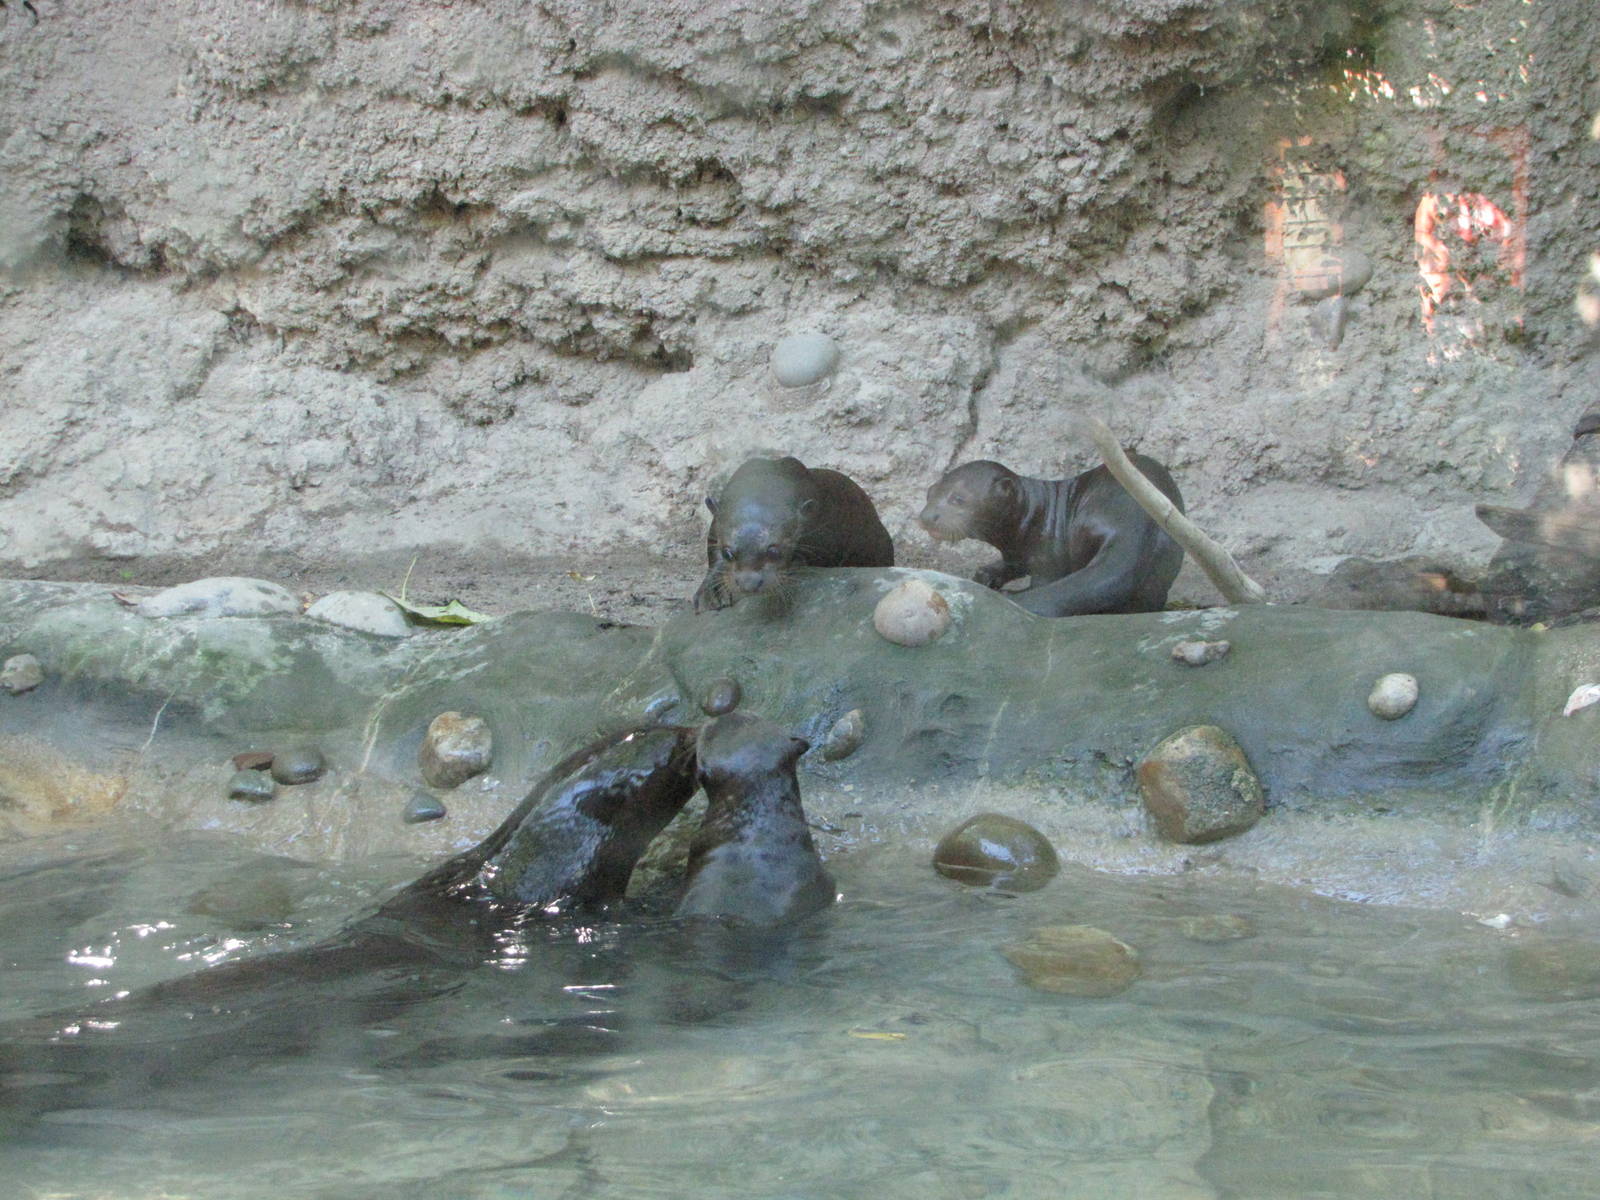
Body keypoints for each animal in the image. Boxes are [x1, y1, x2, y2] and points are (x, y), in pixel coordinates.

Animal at [919, 456, 1185, 617]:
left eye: (958, 498)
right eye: (929, 493)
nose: (927, 516)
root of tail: (1136, 525)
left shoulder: (1047, 553)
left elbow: (1043, 580)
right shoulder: (1016, 552)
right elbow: (1012, 564)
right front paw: (987, 573)